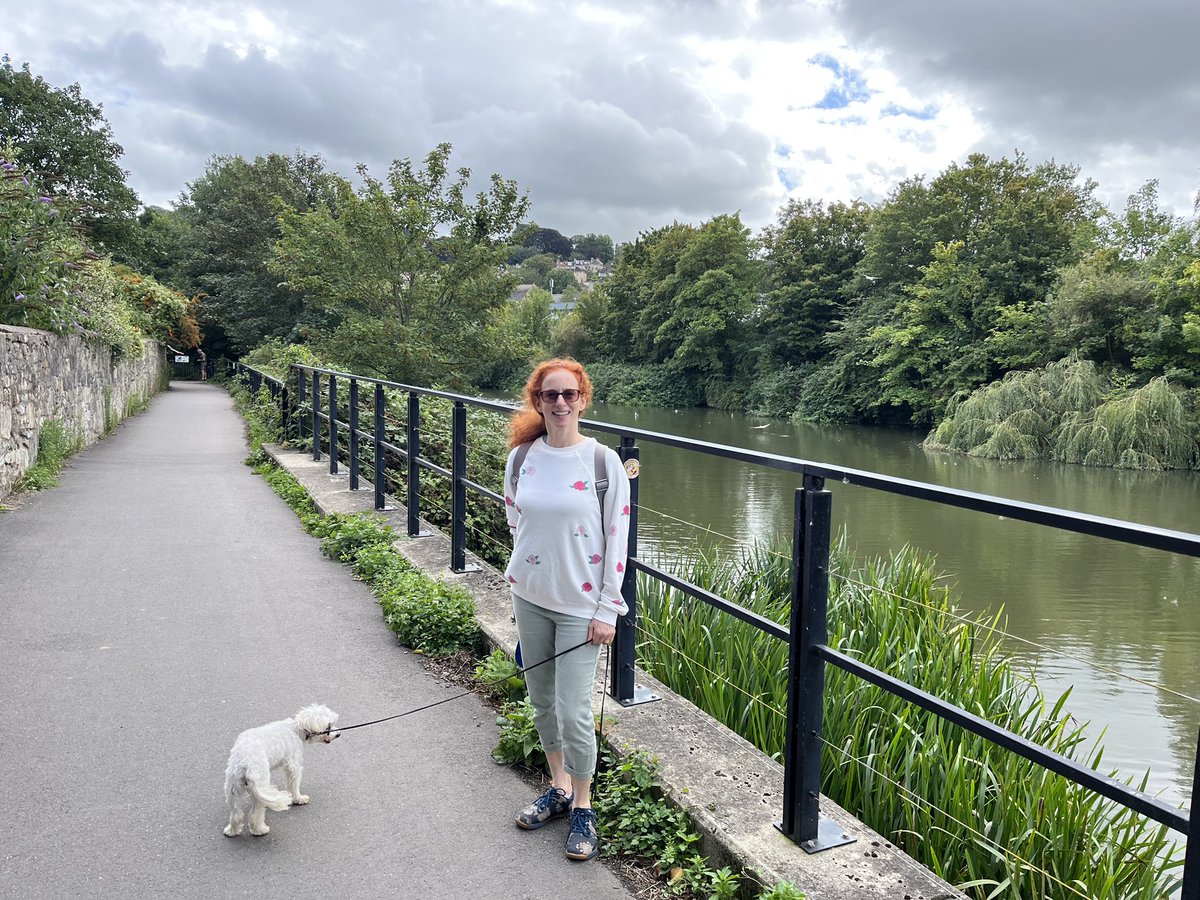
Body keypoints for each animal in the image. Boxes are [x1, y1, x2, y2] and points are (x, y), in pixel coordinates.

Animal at [223, 705, 338, 840]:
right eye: (329, 726)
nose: (339, 734)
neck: (297, 728)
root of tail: (245, 762)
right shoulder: (293, 765)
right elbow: (294, 784)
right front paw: (298, 798)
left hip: (232, 787)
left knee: (236, 813)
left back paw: (232, 830)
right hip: (259, 786)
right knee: (255, 814)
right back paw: (260, 830)